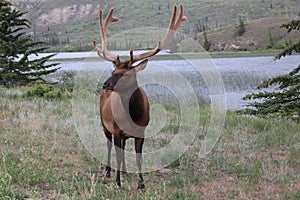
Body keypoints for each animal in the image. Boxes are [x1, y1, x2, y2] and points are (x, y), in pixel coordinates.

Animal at [95, 4, 186, 189]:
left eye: (125, 74)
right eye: (113, 72)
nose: (105, 85)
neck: (133, 114)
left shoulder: (141, 131)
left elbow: (139, 158)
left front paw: (141, 184)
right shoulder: (116, 130)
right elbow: (117, 155)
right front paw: (118, 183)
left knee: (122, 149)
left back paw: (123, 171)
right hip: (104, 124)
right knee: (109, 147)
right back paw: (108, 172)